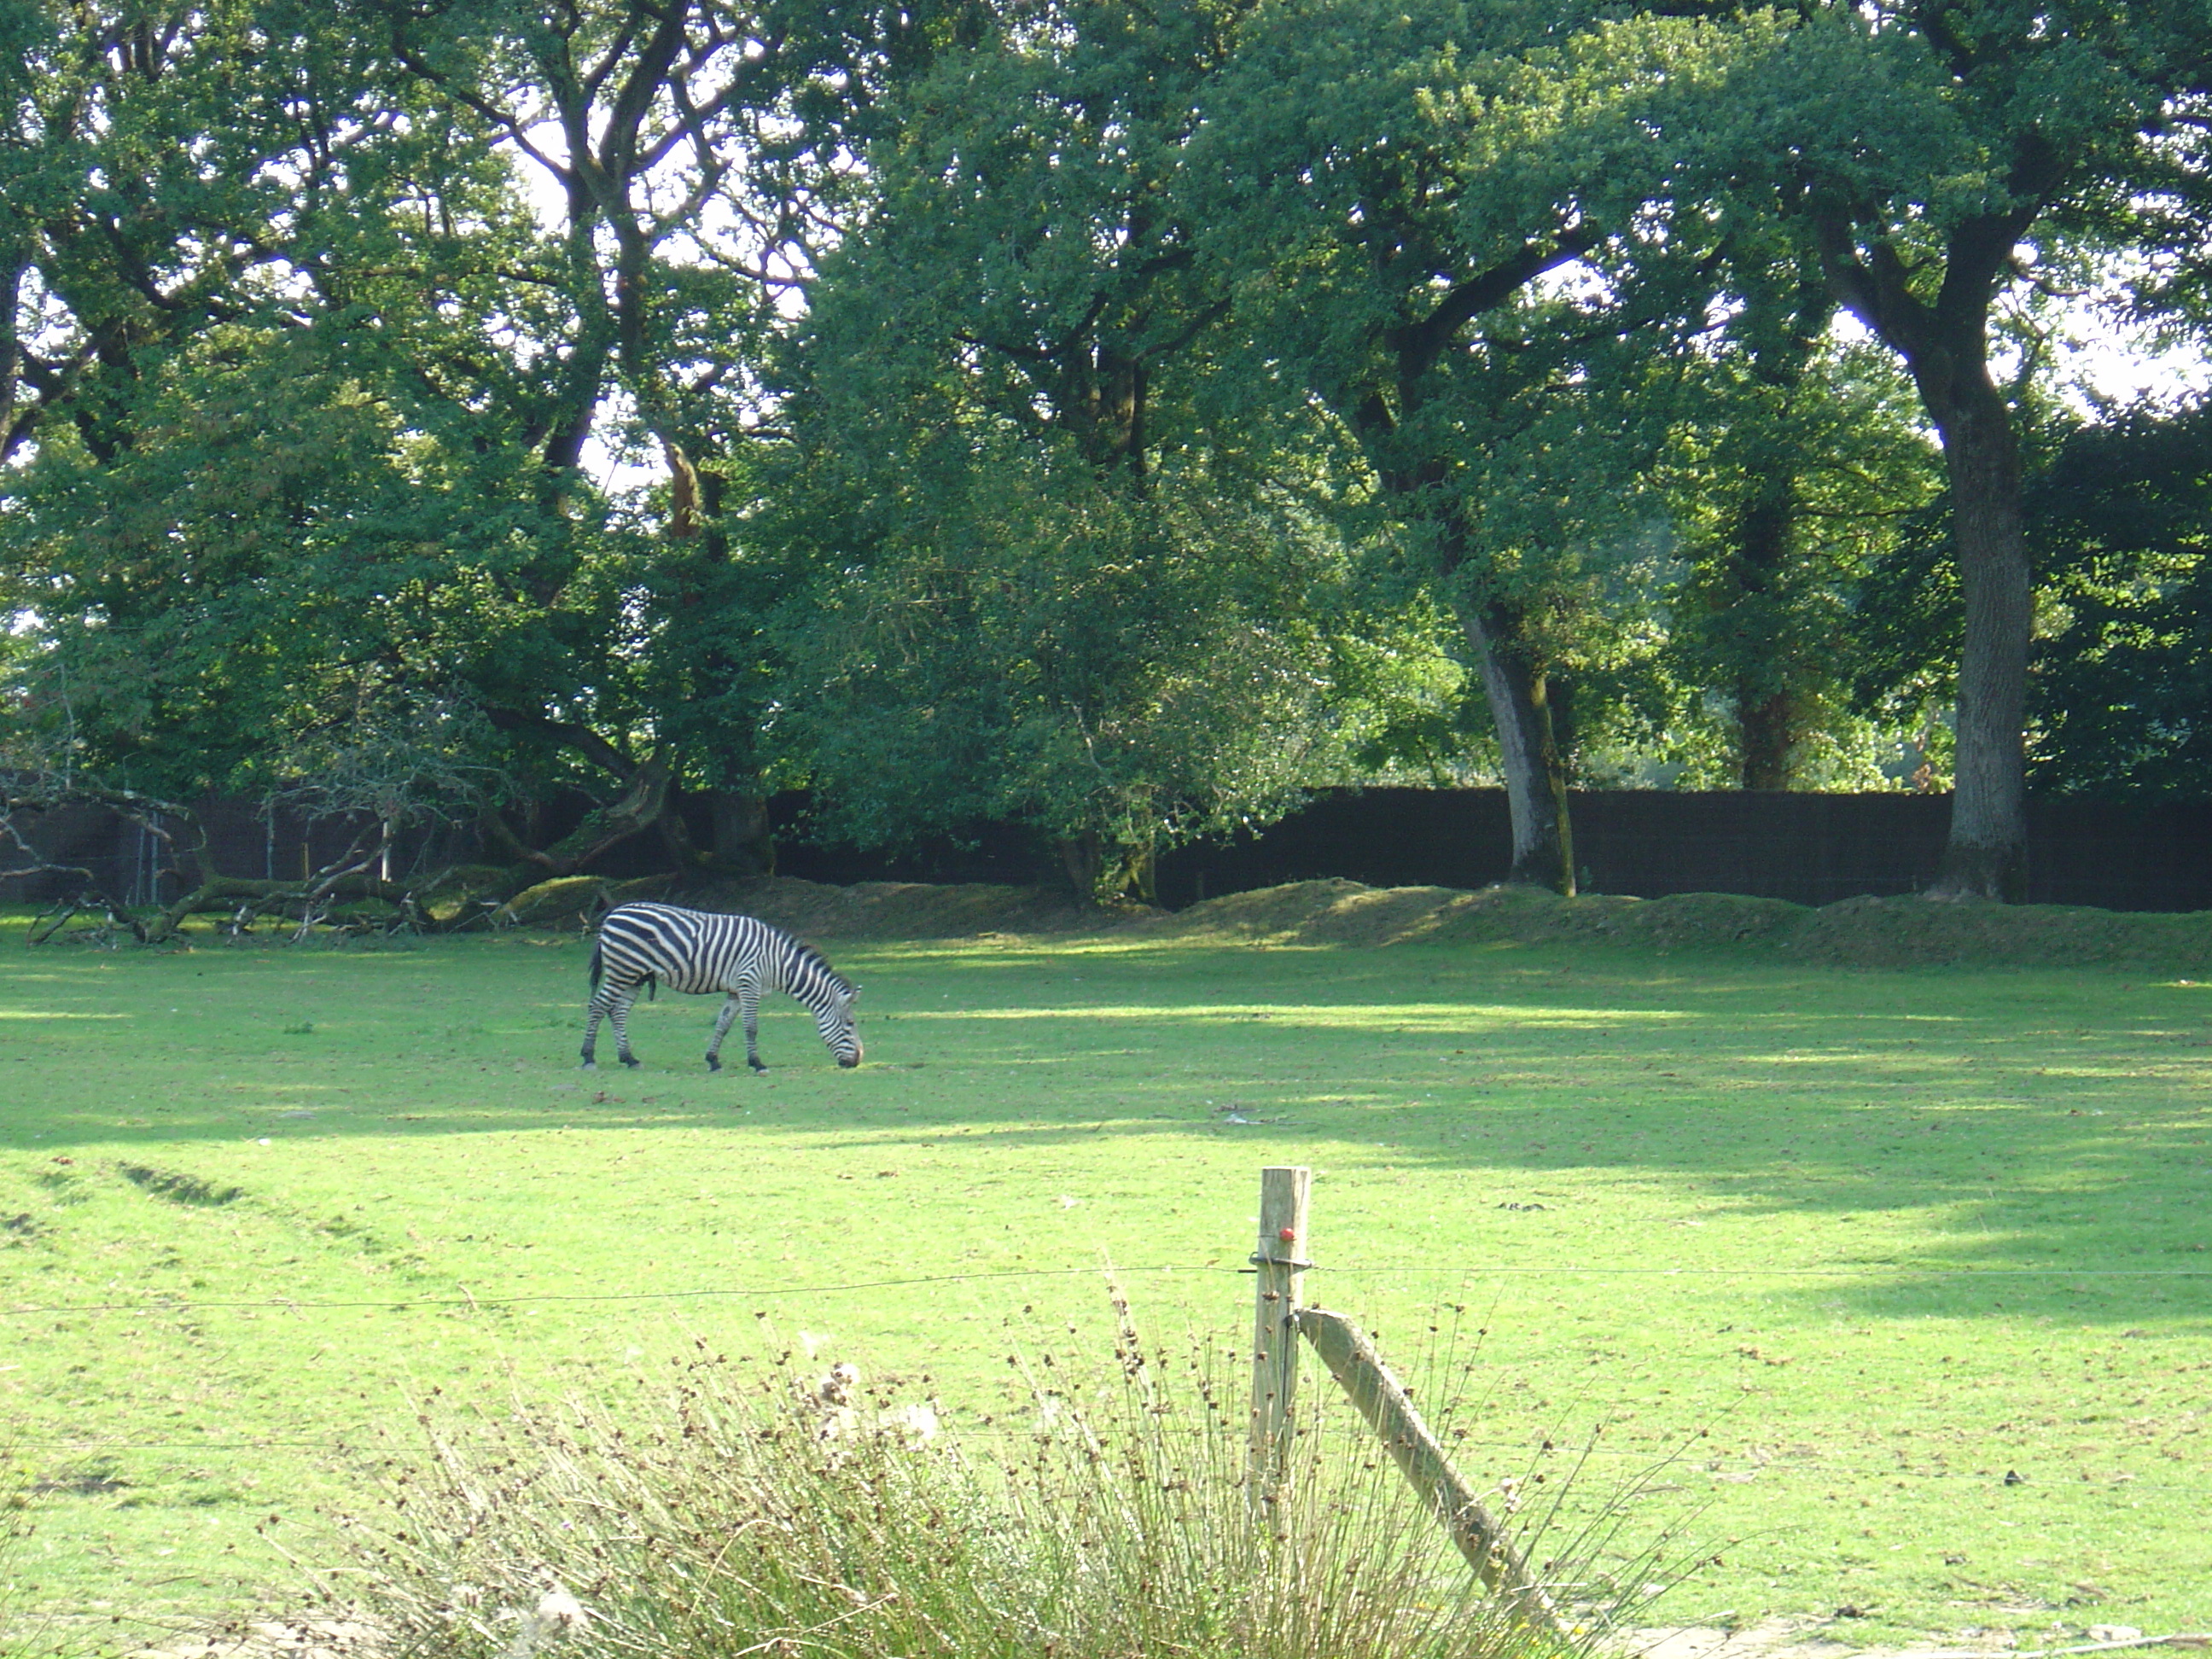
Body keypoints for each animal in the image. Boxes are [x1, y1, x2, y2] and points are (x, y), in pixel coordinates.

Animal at [579, 911, 862, 1079]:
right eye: (849, 1024)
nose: (859, 1060)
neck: (778, 963)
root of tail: (612, 915)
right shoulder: (750, 984)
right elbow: (751, 1028)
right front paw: (758, 1064)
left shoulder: (736, 990)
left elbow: (723, 1024)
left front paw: (713, 1060)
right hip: (623, 969)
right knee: (597, 1006)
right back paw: (588, 1057)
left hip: (634, 975)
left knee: (617, 1011)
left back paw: (629, 1058)